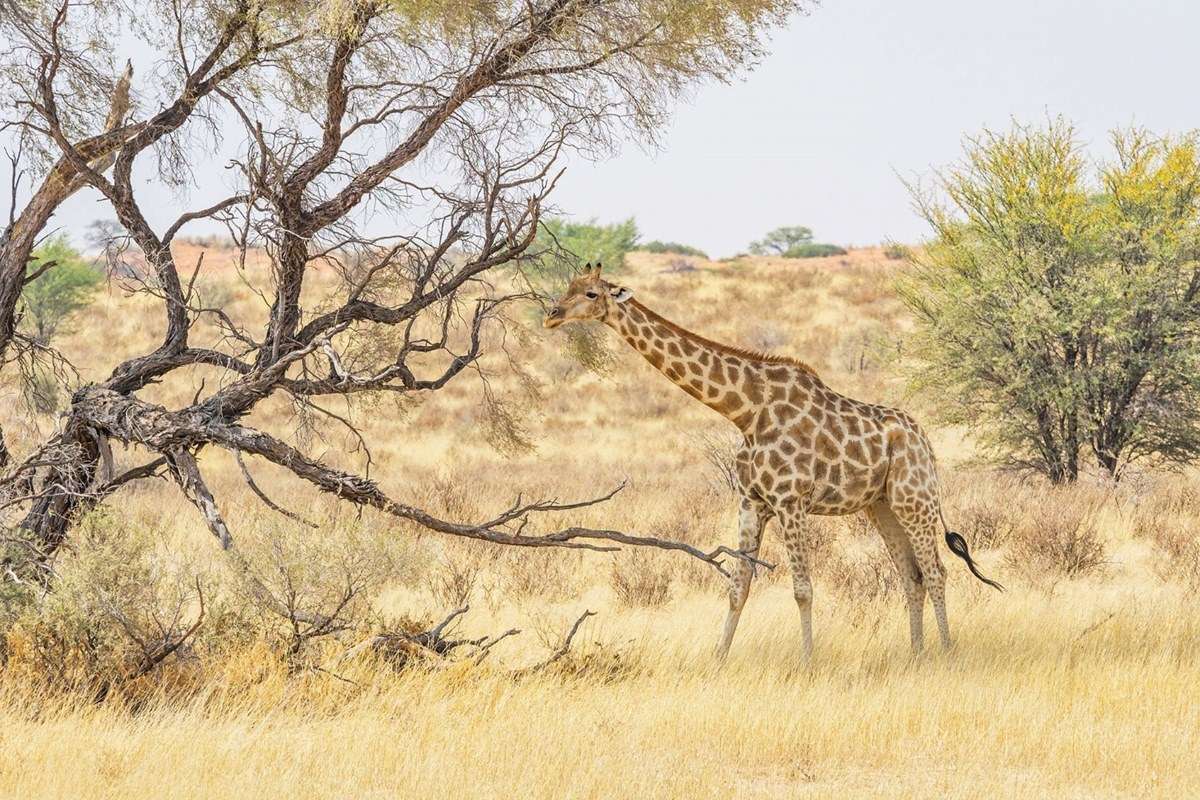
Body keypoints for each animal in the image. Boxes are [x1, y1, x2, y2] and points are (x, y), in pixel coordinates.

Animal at [547, 262, 1003, 657]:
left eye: (590, 293)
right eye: (568, 287)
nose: (552, 315)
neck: (745, 411)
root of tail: (924, 441)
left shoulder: (790, 500)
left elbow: (802, 589)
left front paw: (807, 662)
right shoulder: (752, 502)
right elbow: (738, 587)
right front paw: (718, 660)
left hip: (915, 499)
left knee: (936, 571)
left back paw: (946, 653)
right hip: (881, 505)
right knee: (912, 576)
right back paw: (917, 654)